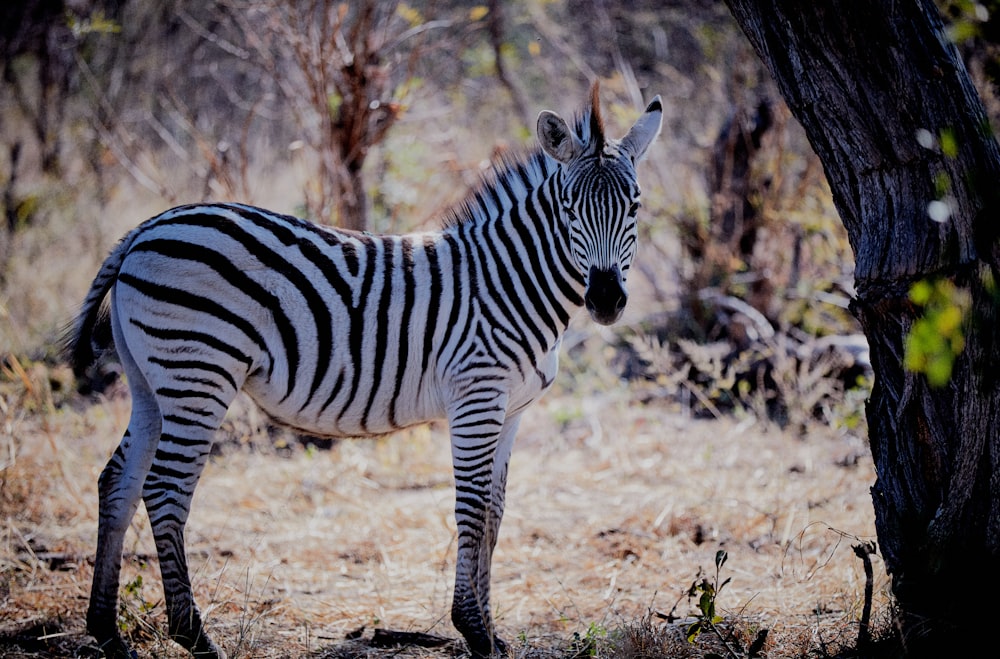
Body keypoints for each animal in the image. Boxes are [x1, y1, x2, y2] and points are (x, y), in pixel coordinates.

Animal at [68, 84, 664, 659]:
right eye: (569, 208)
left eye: (634, 206)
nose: (606, 300)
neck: (510, 281)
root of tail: (146, 228)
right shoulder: (476, 397)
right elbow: (472, 510)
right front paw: (472, 630)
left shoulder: (511, 410)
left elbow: (495, 515)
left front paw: (493, 635)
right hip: (198, 375)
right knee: (165, 490)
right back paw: (195, 637)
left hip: (152, 383)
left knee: (118, 481)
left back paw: (109, 634)